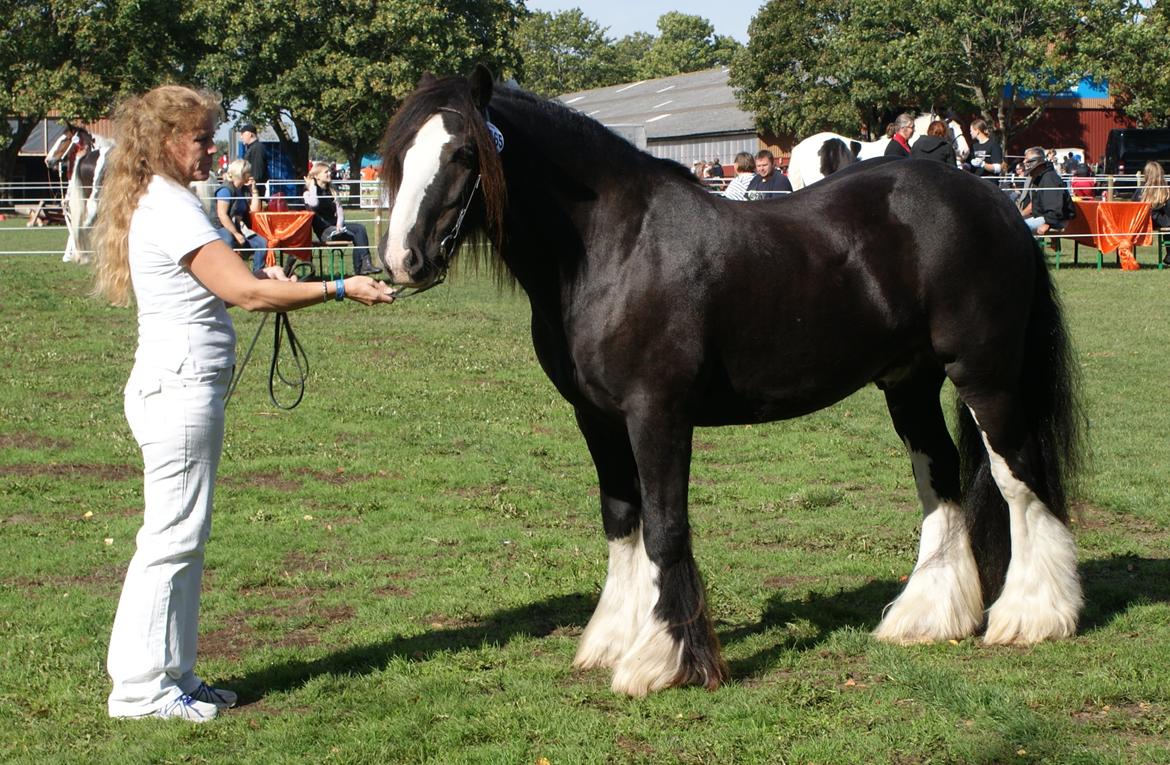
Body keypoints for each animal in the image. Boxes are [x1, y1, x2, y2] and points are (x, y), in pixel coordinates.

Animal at [379, 67, 1081, 701]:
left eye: (462, 153)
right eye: (399, 156)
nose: (402, 261)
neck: (616, 248)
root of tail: (993, 204)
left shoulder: (656, 414)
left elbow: (665, 527)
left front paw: (664, 661)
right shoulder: (596, 417)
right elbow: (621, 518)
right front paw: (612, 638)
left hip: (984, 376)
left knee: (1018, 476)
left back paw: (1032, 616)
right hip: (908, 383)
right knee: (940, 478)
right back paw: (928, 618)